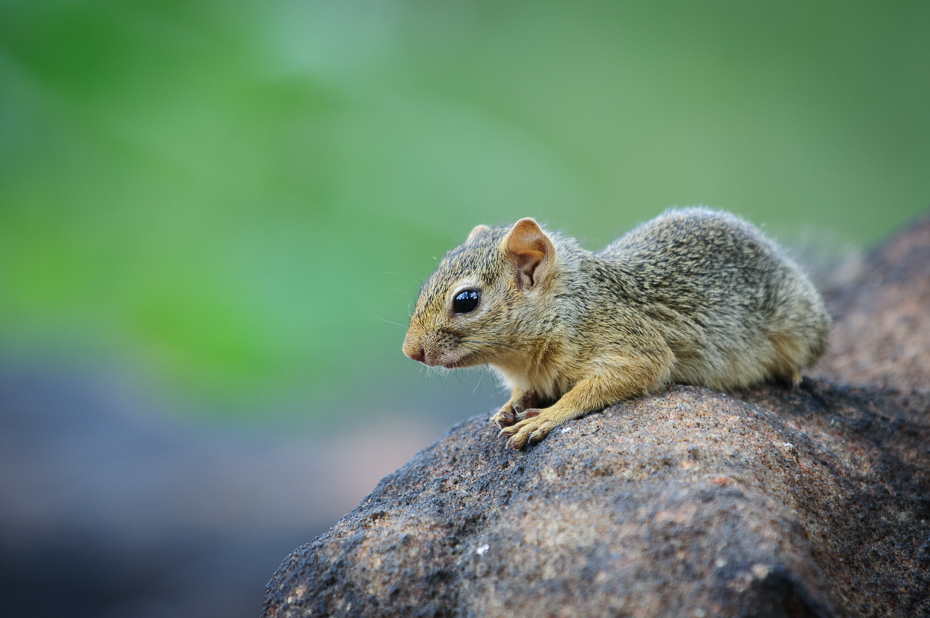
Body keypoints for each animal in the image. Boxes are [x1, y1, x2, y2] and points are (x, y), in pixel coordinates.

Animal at [398, 208, 828, 448]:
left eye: (466, 300)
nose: (409, 351)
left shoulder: (634, 344)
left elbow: (597, 387)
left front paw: (545, 417)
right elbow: (523, 392)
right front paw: (510, 406)